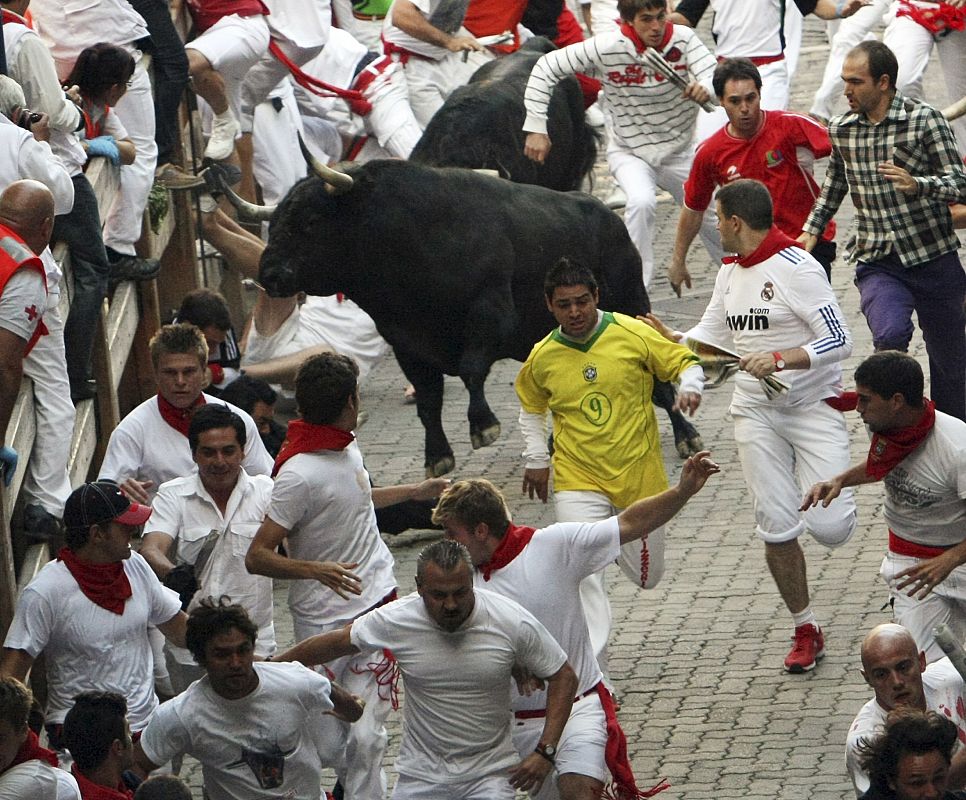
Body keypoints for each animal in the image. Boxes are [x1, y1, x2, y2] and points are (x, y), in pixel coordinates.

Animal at [229, 159, 704, 478]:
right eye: (277, 220)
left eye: (309, 220)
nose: (269, 273)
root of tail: (610, 218)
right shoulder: (406, 342)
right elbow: (428, 400)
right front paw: (437, 456)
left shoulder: (489, 314)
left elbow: (473, 369)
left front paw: (484, 426)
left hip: (632, 306)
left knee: (659, 384)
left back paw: (686, 436)